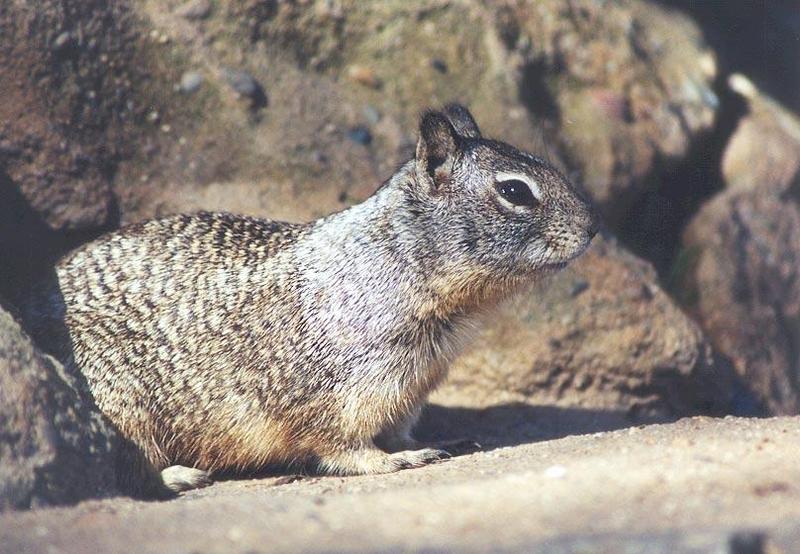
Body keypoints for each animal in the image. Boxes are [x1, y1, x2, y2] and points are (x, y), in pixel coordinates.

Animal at [23, 104, 592, 496]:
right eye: (515, 191)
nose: (592, 226)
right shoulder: (339, 394)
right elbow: (343, 449)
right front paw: (394, 461)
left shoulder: (407, 391)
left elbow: (401, 431)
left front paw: (428, 445)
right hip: (121, 405)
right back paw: (181, 476)